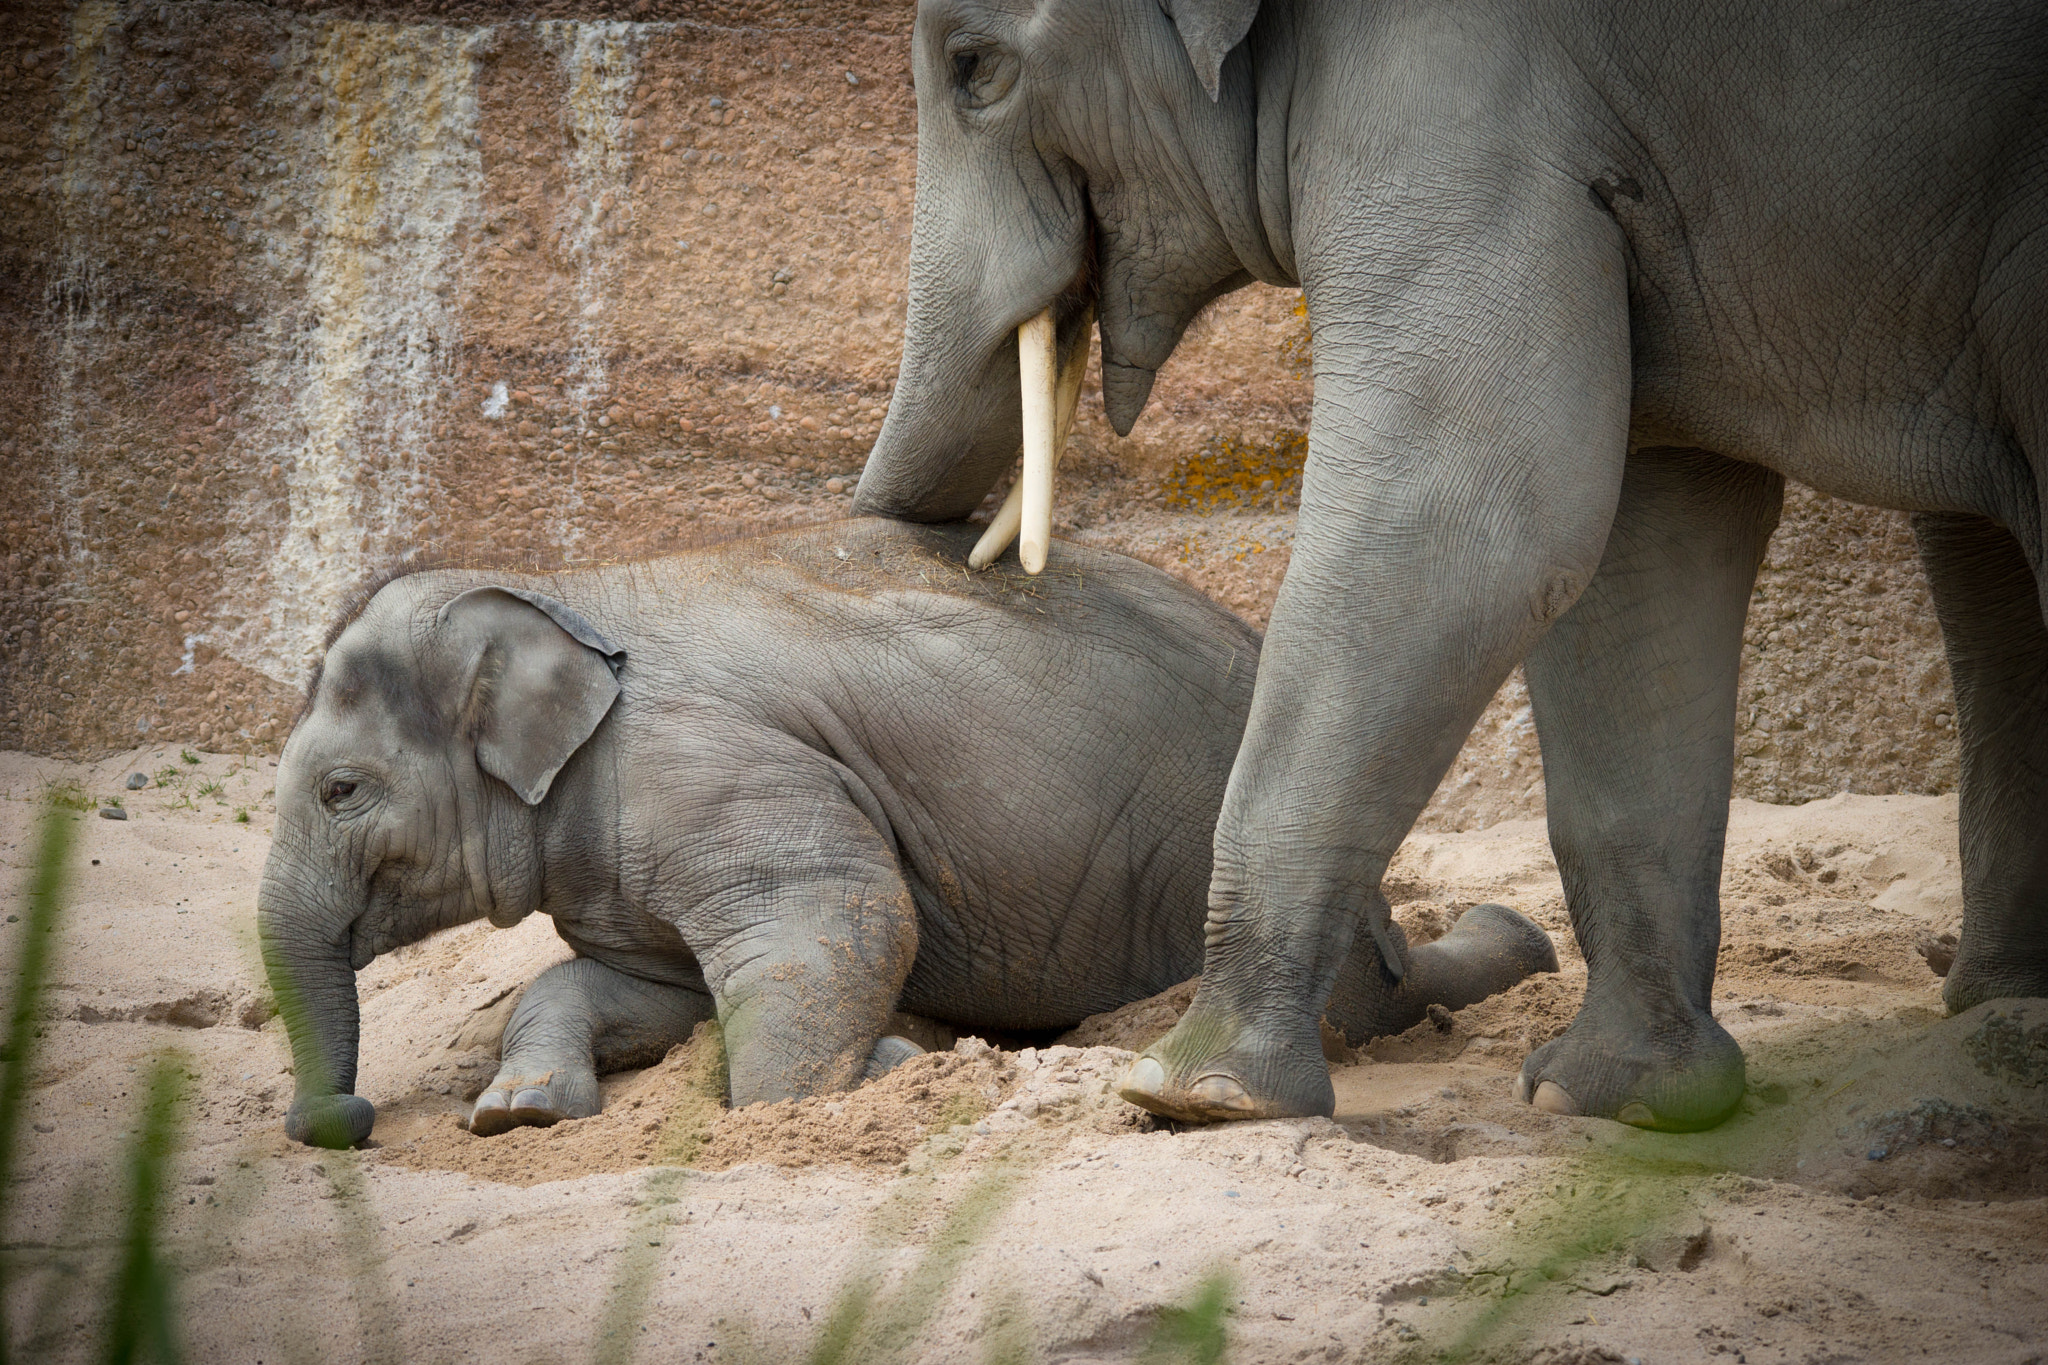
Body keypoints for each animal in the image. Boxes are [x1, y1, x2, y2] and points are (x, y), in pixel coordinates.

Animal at [260, 517, 1548, 1146]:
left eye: (342, 792)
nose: (345, 1122)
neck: (554, 589)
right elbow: (638, 990)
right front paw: (517, 1112)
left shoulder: (704, 777)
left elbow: (837, 921)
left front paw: (884, 1067)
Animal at [851, 0, 2048, 1129]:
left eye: (974, 69)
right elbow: (1636, 543)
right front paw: (1610, 1101)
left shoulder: (1454, 107)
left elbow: (1471, 520)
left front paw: (1191, 1093)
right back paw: (1998, 1004)